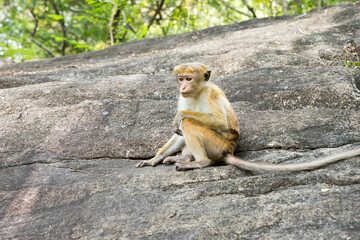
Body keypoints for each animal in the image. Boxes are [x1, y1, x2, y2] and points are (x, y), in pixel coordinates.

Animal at [135, 62, 360, 172]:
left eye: (189, 79)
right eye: (181, 79)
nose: (182, 87)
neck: (197, 92)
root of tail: (229, 151)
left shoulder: (211, 94)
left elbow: (217, 121)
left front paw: (180, 115)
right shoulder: (182, 98)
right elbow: (177, 133)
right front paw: (153, 159)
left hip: (216, 145)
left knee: (191, 123)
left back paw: (199, 162)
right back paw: (184, 157)